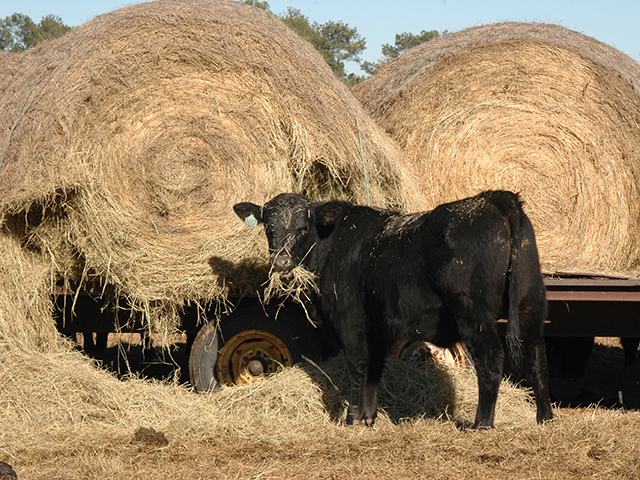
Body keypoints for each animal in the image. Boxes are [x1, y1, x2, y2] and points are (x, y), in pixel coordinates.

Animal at [233, 191, 554, 428]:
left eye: (302, 228)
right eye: (269, 228)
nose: (282, 263)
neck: (335, 241)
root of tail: (494, 198)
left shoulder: (350, 320)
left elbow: (356, 366)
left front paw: (352, 417)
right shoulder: (378, 327)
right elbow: (374, 370)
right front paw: (368, 417)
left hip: (474, 314)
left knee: (491, 358)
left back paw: (482, 423)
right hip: (530, 303)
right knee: (537, 354)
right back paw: (545, 418)